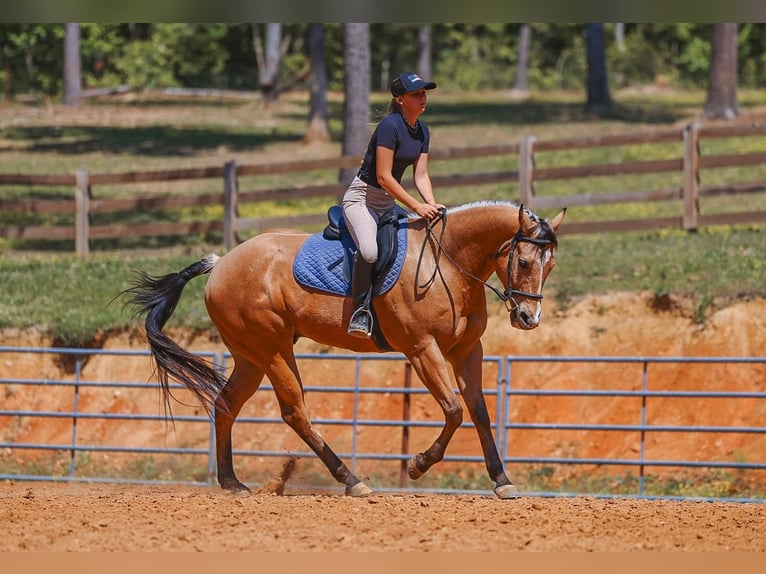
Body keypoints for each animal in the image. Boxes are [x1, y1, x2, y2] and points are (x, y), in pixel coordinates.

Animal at [121, 200, 565, 498]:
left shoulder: (467, 350)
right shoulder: (422, 349)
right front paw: (418, 465)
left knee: (227, 405)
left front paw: (502, 480)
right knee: (295, 412)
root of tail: (221, 262)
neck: (447, 264)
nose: (528, 318)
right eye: (525, 262)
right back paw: (351, 481)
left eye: (550, 266)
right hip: (273, 350)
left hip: (251, 355)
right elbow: (455, 410)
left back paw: (232, 482)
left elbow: (479, 412)